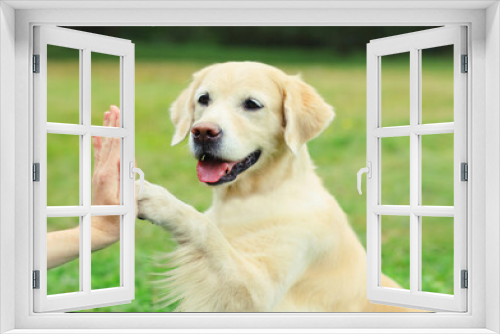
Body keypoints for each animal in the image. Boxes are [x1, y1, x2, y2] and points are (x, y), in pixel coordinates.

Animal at [138, 61, 414, 312]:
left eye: (251, 104)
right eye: (203, 99)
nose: (203, 132)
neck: (249, 196)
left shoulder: (259, 292)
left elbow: (208, 232)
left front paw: (156, 199)